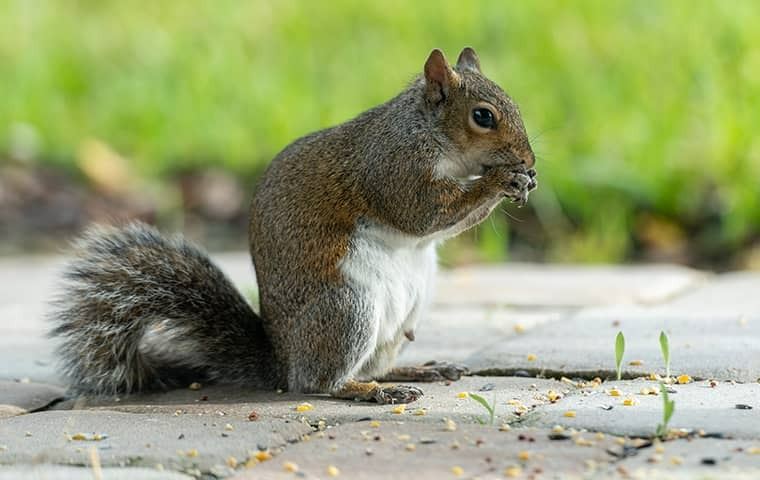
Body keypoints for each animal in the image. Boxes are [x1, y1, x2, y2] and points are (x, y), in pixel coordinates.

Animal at [49, 47, 536, 404]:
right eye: (484, 116)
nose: (529, 160)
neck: (427, 132)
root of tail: (282, 364)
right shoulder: (391, 167)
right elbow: (420, 214)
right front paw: (499, 179)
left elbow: (443, 224)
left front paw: (521, 181)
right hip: (346, 308)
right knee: (320, 383)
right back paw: (370, 391)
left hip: (401, 320)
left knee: (371, 364)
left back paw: (414, 371)